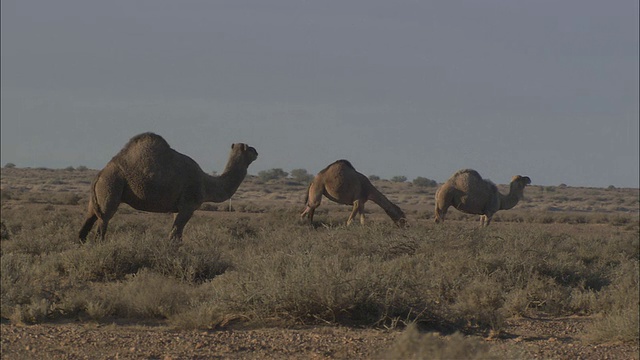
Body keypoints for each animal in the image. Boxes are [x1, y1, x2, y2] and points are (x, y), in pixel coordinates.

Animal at [79, 132, 258, 242]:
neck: (206, 183)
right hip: (111, 185)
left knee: (86, 225)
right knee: (103, 223)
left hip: (97, 196)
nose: (257, 151)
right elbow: (175, 236)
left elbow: (176, 235)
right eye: (249, 148)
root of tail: (99, 174)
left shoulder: (177, 208)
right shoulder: (188, 205)